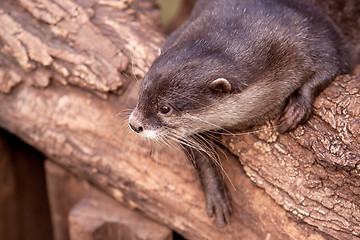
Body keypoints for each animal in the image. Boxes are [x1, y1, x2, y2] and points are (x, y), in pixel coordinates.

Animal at [129, 0, 358, 226]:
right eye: (142, 91)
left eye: (165, 108)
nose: (134, 124)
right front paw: (216, 195)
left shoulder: (315, 37)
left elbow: (331, 65)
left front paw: (297, 109)